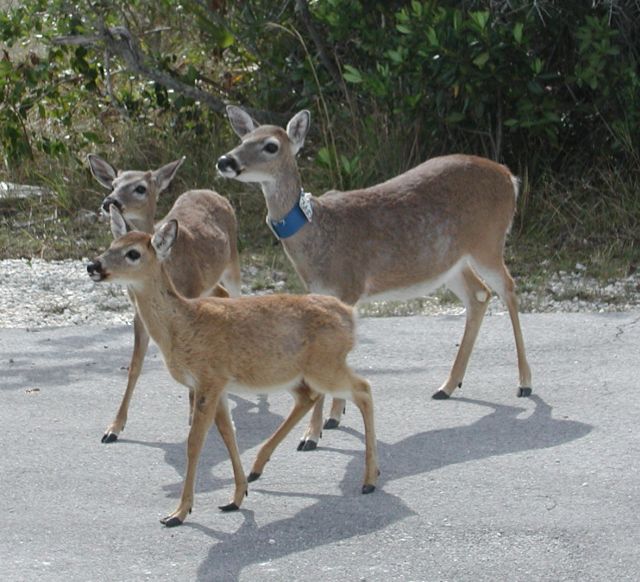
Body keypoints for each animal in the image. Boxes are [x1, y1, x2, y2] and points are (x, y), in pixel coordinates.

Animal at [84, 211, 376, 528]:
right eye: (111, 245)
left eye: (133, 253)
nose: (93, 265)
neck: (181, 324)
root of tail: (350, 316)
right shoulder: (219, 385)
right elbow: (228, 434)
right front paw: (235, 497)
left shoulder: (208, 380)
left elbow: (195, 443)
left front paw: (179, 512)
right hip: (295, 372)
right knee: (310, 397)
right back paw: (258, 468)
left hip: (325, 365)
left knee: (363, 389)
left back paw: (369, 480)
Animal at [89, 155, 241, 442]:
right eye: (113, 183)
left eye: (140, 187)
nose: (109, 201)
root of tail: (209, 190)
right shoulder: (138, 313)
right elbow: (134, 366)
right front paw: (114, 427)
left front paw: (193, 415)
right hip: (210, 283)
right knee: (222, 295)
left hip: (232, 264)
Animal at [218, 105, 532, 452]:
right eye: (243, 139)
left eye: (271, 146)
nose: (225, 161)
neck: (319, 233)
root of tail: (509, 176)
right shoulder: (320, 291)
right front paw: (333, 419)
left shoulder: (350, 285)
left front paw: (311, 434)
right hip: (450, 262)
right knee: (479, 295)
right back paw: (448, 385)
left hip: (488, 241)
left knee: (508, 288)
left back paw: (524, 383)